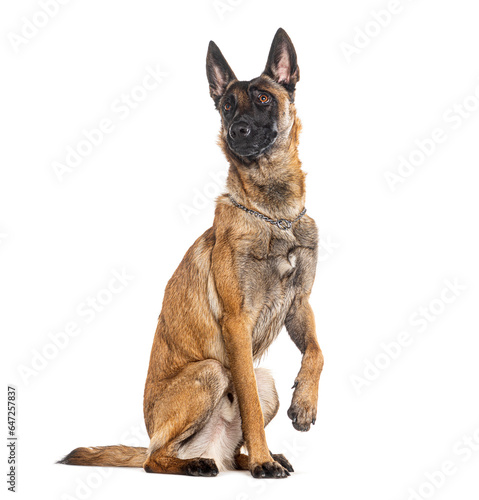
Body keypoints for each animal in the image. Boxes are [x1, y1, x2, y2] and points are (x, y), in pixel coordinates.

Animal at [59, 28, 322, 480]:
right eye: (227, 105)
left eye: (264, 98)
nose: (237, 131)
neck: (275, 214)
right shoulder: (236, 322)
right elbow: (249, 404)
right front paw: (264, 462)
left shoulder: (299, 305)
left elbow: (317, 353)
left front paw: (304, 405)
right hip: (210, 373)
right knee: (154, 459)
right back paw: (207, 462)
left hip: (265, 380)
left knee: (233, 449)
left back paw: (251, 457)